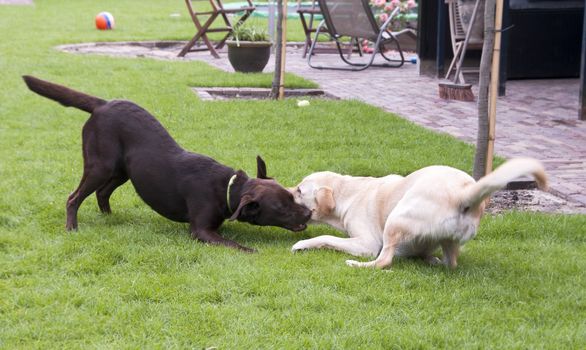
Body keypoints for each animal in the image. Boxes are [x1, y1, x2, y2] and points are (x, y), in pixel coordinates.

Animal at [24, 76, 310, 252]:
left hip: (123, 171)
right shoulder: (200, 231)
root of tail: (102, 104)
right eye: (281, 207)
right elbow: (232, 244)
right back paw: (72, 228)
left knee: (102, 193)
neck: (227, 188)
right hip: (100, 166)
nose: (308, 214)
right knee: (74, 197)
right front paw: (250, 249)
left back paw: (110, 218)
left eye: (292, 196)